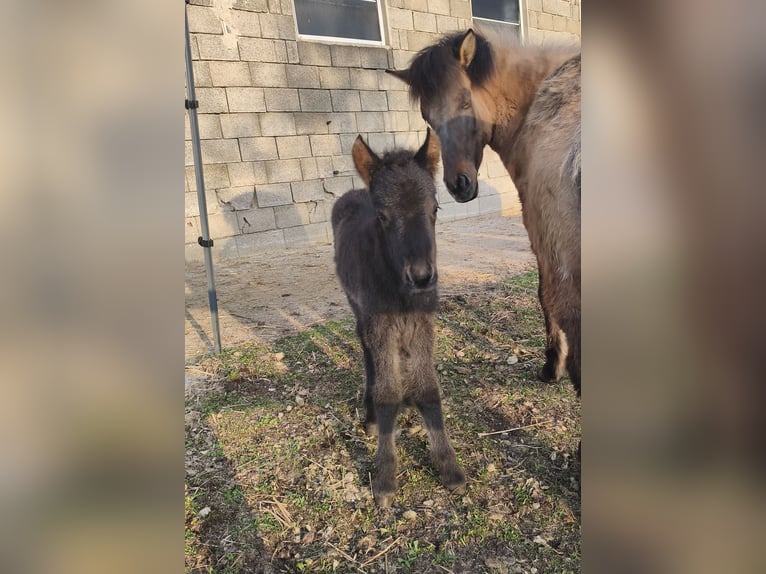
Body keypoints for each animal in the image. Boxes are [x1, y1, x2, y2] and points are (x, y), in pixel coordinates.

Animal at [331, 130, 467, 507]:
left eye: (434, 208)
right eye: (382, 216)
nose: (421, 277)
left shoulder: (422, 322)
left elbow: (429, 389)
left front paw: (449, 466)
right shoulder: (380, 323)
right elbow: (388, 392)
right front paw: (385, 477)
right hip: (359, 308)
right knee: (365, 351)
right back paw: (371, 416)